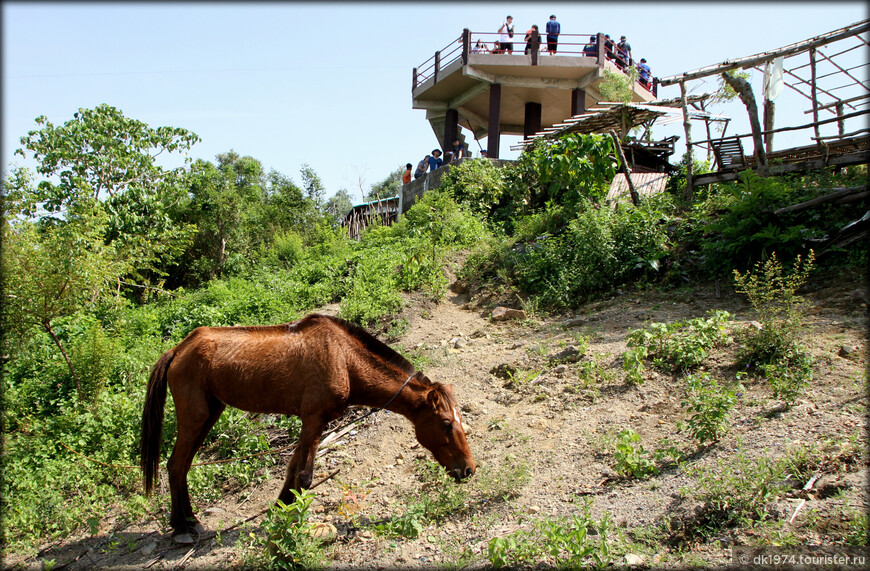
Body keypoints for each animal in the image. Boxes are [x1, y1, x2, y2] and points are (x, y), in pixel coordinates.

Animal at [141, 312, 476, 540]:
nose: (469, 469)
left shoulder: (311, 424)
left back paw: (188, 521)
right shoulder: (314, 420)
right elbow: (304, 476)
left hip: (209, 414)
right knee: (175, 464)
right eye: (446, 423)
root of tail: (177, 350)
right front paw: (293, 523)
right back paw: (181, 527)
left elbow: (292, 471)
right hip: (195, 417)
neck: (343, 358)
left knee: (183, 466)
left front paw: (280, 511)